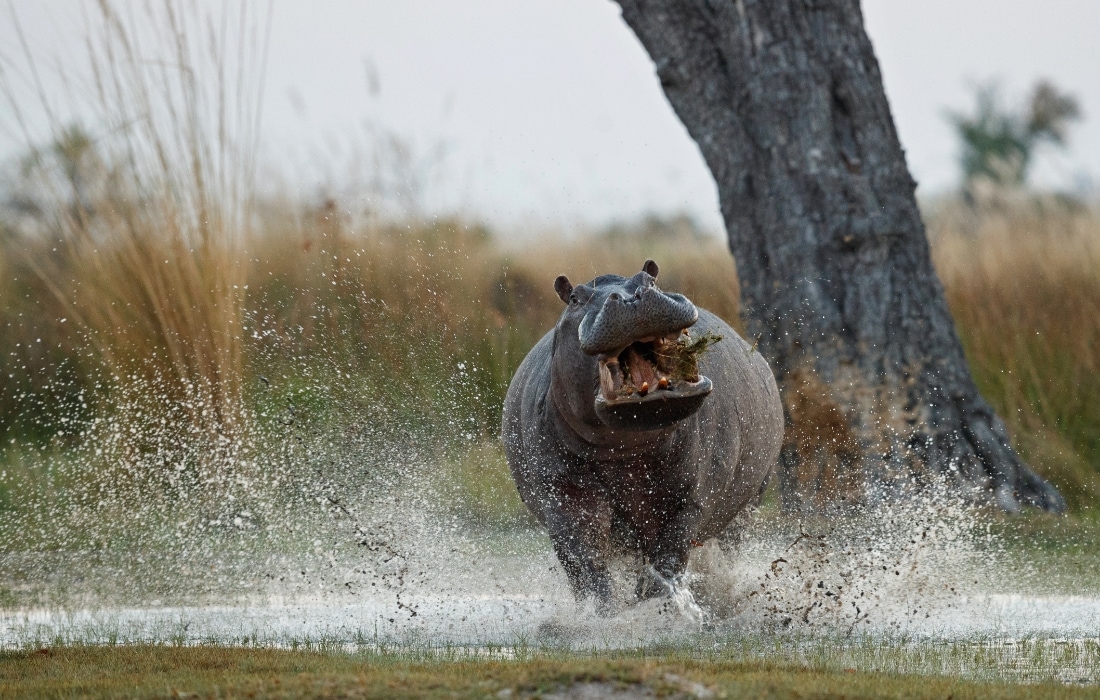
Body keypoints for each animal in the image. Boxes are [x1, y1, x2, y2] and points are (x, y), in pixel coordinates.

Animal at [502, 260, 784, 612]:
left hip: (748, 505)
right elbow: (587, 563)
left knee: (726, 547)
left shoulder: (694, 498)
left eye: (650, 277)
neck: (625, 448)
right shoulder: (563, 496)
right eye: (575, 298)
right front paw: (606, 614)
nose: (632, 297)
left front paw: (654, 608)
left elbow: (668, 557)